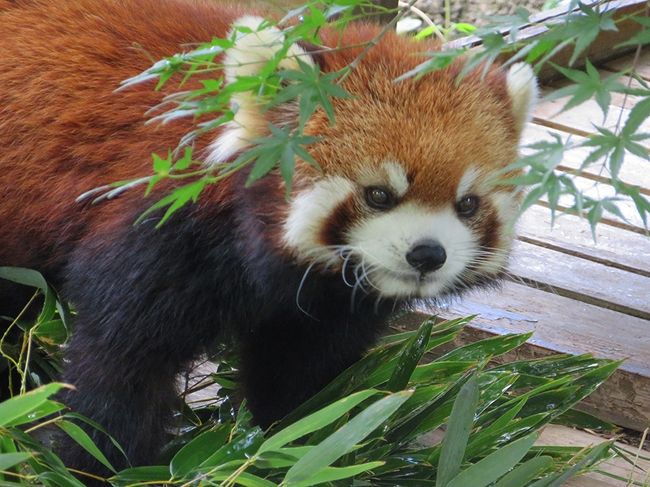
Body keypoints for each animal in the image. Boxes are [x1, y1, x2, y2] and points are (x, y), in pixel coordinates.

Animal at [0, 0, 532, 476]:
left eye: (467, 204)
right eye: (379, 194)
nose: (427, 254)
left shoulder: (325, 306)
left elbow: (298, 375)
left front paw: (288, 443)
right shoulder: (157, 234)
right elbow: (121, 369)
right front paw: (97, 463)